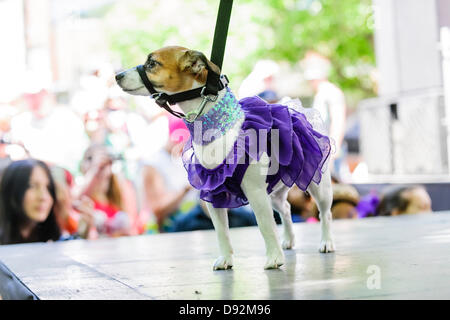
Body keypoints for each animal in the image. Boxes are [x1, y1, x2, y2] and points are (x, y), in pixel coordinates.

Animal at [116, 45, 334, 270]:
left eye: (152, 64)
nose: (117, 76)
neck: (217, 127)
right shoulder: (213, 194)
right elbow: (222, 232)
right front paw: (226, 259)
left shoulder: (256, 193)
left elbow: (265, 225)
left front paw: (274, 258)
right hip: (275, 192)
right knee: (286, 209)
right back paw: (289, 240)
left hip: (318, 186)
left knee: (324, 213)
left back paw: (326, 242)